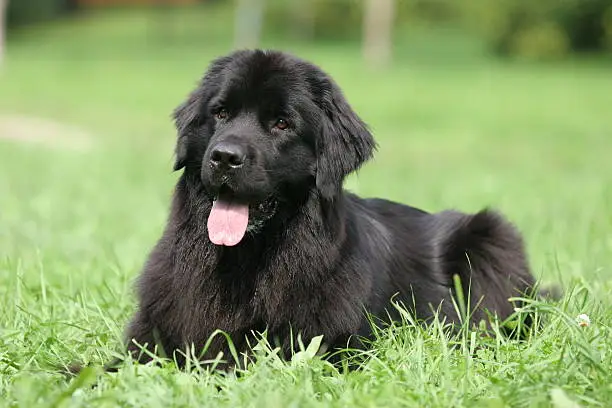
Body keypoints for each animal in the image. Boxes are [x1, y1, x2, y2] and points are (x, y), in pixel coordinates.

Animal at [105, 50, 540, 370]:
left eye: (282, 123)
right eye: (221, 113)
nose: (224, 157)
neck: (245, 262)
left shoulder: (326, 346)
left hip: (490, 235)